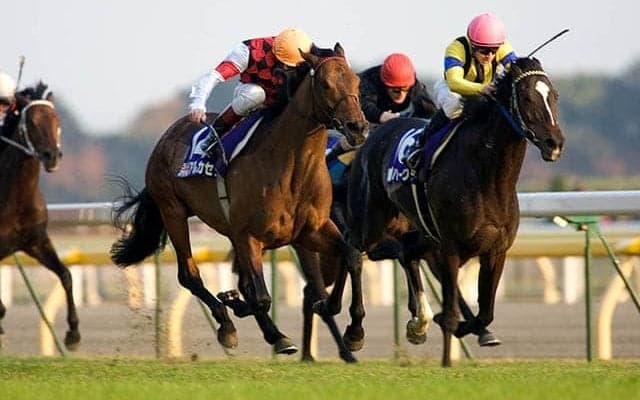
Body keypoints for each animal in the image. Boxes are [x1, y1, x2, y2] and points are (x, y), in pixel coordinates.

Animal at [0, 82, 81, 349]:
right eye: (33, 122)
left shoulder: (36, 241)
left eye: (57, 120)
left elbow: (66, 275)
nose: (52, 156)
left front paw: (73, 334)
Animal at [110, 43, 368, 362]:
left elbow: (351, 257)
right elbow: (261, 296)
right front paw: (265, 327)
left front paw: (353, 331)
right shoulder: (249, 235)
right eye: (325, 84)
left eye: (356, 82)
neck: (291, 167)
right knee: (189, 275)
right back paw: (229, 326)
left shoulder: (312, 230)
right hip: (173, 211)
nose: (358, 127)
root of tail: (168, 136)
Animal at [346, 57, 564, 366]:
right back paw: (355, 332)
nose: (554, 143)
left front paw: (465, 329)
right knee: (354, 251)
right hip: (372, 218)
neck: (488, 178)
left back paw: (419, 323)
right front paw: (447, 360)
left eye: (554, 95)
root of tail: (377, 133)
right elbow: (450, 312)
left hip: (421, 230)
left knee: (407, 251)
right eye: (526, 98)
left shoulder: (496, 251)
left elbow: (485, 312)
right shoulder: (450, 247)